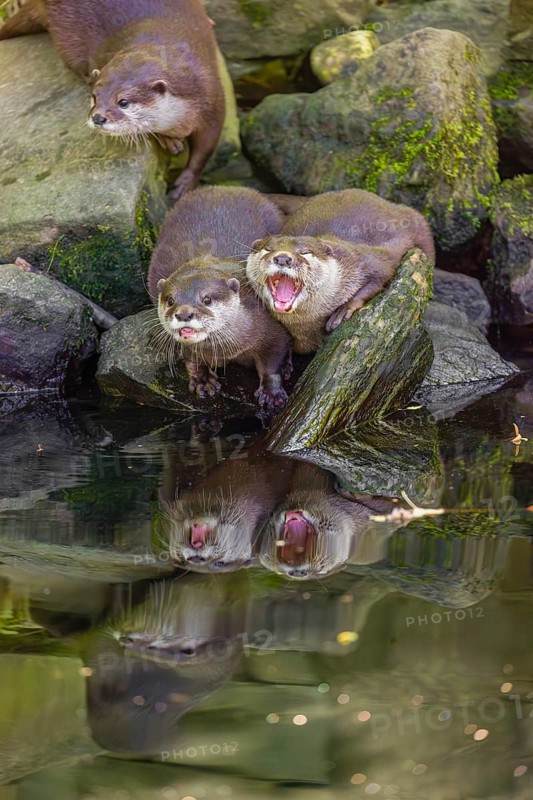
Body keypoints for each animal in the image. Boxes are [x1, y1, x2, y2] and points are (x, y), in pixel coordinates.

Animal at [0, 0, 224, 199]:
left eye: (123, 102)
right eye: (94, 97)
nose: (98, 117)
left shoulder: (212, 98)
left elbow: (206, 147)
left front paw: (186, 182)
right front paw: (168, 139)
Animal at [148, 186, 292, 410]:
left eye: (206, 299)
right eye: (171, 300)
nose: (184, 314)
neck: (230, 349)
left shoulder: (274, 331)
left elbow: (272, 362)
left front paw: (272, 393)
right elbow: (191, 359)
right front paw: (202, 380)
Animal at [247, 189, 436, 354]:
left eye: (305, 252)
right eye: (268, 249)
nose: (282, 258)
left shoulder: (366, 259)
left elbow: (383, 275)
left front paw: (343, 311)